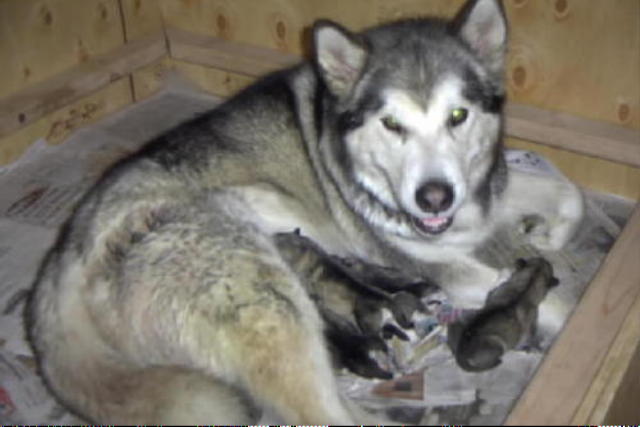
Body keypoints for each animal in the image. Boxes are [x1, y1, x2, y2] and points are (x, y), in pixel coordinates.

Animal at [27, 0, 584, 422]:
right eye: (392, 124)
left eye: (457, 115)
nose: (434, 197)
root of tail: (63, 259)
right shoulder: (435, 265)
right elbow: (560, 305)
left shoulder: (485, 193)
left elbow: (570, 193)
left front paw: (546, 232)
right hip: (270, 303)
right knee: (320, 412)